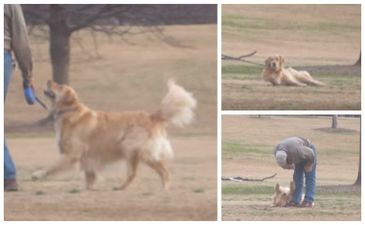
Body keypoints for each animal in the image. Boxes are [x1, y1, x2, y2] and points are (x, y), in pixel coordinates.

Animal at [31, 79, 196, 190]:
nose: (48, 80)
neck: (70, 111)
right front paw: (88, 189)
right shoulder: (88, 158)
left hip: (134, 150)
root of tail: (153, 116)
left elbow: (52, 167)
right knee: (147, 172)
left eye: (60, 86)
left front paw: (38, 175)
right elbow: (89, 178)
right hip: (136, 152)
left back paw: (158, 188)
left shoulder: (72, 155)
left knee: (155, 171)